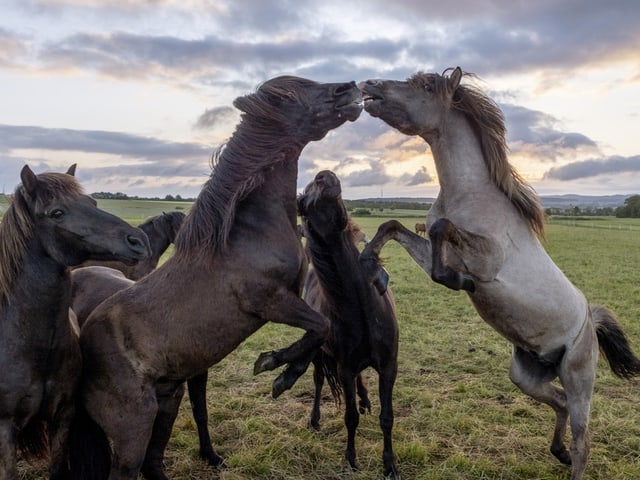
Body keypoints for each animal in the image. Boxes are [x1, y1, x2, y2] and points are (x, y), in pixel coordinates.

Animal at [71, 76, 360, 480]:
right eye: (291, 94)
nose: (349, 89)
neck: (247, 232)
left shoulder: (292, 297)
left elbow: (319, 333)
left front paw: (280, 370)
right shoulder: (271, 302)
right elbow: (321, 326)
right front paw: (274, 369)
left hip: (168, 398)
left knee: (154, 462)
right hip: (134, 425)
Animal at [298, 171, 398, 478]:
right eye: (302, 199)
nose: (324, 176)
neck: (361, 308)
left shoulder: (388, 366)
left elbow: (387, 417)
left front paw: (390, 464)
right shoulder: (344, 367)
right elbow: (350, 417)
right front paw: (351, 459)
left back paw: (365, 400)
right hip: (320, 356)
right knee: (319, 381)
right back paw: (315, 419)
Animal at [360, 67, 640, 480]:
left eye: (425, 86)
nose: (370, 85)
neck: (469, 193)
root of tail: (591, 321)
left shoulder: (486, 259)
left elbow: (441, 229)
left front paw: (461, 282)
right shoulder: (437, 252)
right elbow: (394, 226)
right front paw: (368, 261)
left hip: (578, 377)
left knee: (583, 438)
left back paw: (570, 456)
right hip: (527, 376)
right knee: (559, 404)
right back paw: (557, 451)